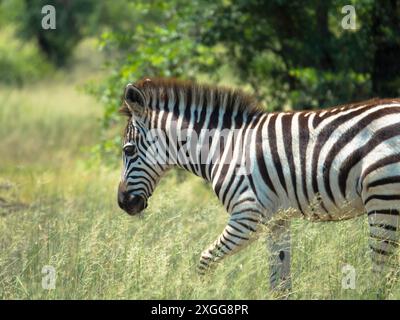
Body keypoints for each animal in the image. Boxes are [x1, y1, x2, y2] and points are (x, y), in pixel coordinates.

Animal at [118, 77, 400, 290]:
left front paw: (202, 293)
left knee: (381, 277)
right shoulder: (278, 221)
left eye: (128, 150)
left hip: (382, 198)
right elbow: (280, 283)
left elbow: (205, 260)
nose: (122, 203)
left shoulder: (248, 216)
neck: (223, 148)